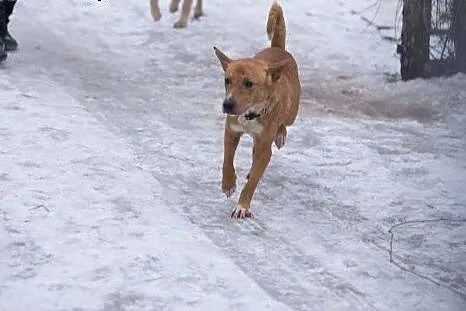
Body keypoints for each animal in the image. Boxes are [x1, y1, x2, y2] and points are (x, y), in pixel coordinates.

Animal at [213, 1, 300, 219]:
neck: (250, 114)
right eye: (227, 80)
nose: (227, 104)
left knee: (284, 124)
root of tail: (277, 48)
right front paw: (228, 183)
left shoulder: (264, 149)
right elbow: (227, 159)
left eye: (249, 83)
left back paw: (280, 134)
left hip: (292, 112)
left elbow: (252, 183)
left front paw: (242, 206)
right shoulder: (231, 131)